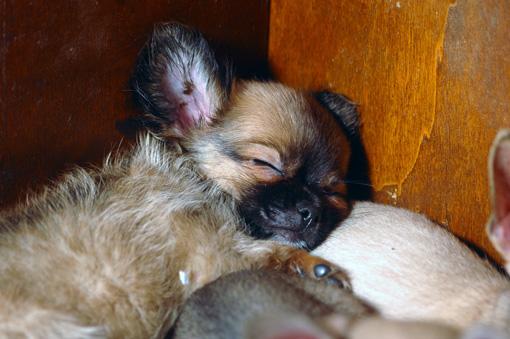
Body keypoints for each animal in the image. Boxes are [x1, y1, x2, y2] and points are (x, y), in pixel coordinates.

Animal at [0, 22, 360, 338]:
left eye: (331, 190)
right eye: (265, 164)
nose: (308, 211)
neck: (196, 180)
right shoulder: (213, 252)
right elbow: (260, 253)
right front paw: (309, 266)